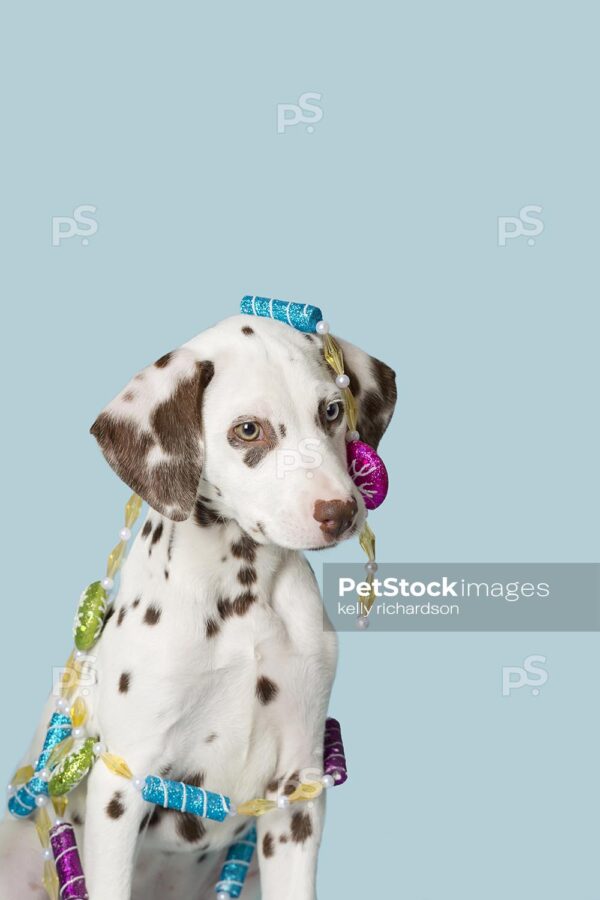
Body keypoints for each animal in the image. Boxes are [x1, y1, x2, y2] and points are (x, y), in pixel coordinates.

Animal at [0, 314, 396, 900]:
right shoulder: (122, 788)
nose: (340, 511)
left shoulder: (296, 793)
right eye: (249, 430)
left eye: (330, 411)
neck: (242, 599)